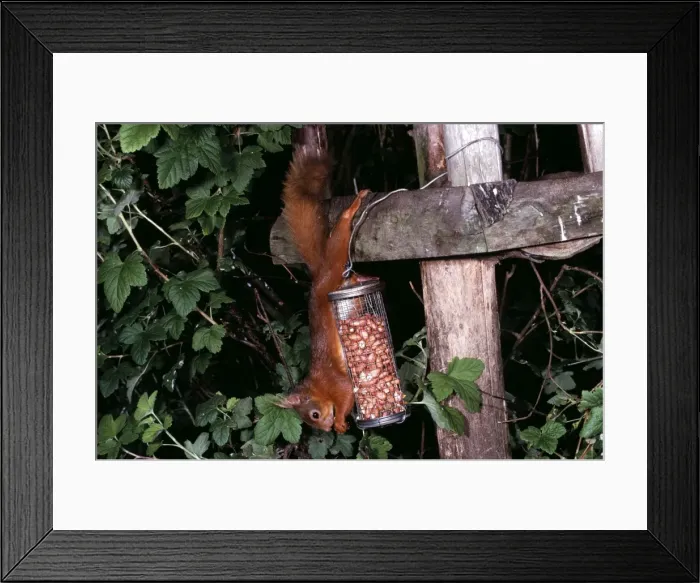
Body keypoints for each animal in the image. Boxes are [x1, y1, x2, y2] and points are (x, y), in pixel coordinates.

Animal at [276, 145, 374, 434]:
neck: (318, 386)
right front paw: (343, 424)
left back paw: (351, 209)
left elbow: (347, 392)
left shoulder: (335, 380)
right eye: (311, 422)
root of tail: (318, 275)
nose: (327, 429)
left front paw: (341, 421)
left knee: (340, 238)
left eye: (315, 414)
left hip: (334, 263)